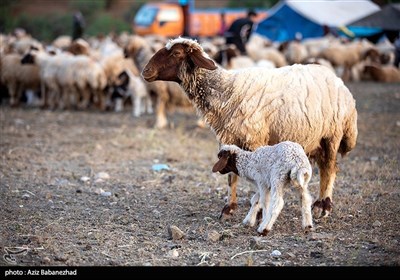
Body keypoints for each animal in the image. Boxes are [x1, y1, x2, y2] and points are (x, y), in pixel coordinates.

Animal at [142, 37, 358, 220]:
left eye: (177, 53)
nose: (145, 71)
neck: (225, 90)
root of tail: (338, 81)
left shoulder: (255, 138)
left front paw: (260, 210)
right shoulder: (229, 138)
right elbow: (231, 177)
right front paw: (229, 208)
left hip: (332, 134)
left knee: (329, 168)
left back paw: (324, 206)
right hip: (317, 139)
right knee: (326, 168)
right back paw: (319, 203)